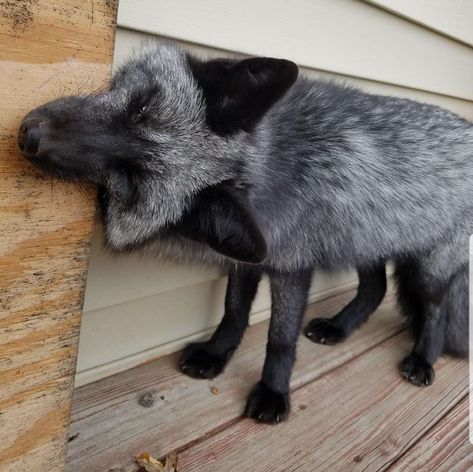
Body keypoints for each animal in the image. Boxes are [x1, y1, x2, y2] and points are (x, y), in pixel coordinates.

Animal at [17, 44, 468, 424]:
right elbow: (233, 310)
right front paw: (216, 354)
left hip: (426, 268)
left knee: (434, 308)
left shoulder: (292, 266)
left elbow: (279, 338)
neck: (264, 166)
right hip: (362, 241)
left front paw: (273, 391)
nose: (30, 134)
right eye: (140, 105)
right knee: (375, 288)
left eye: (130, 181)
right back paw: (339, 329)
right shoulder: (245, 256)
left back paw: (423, 359)